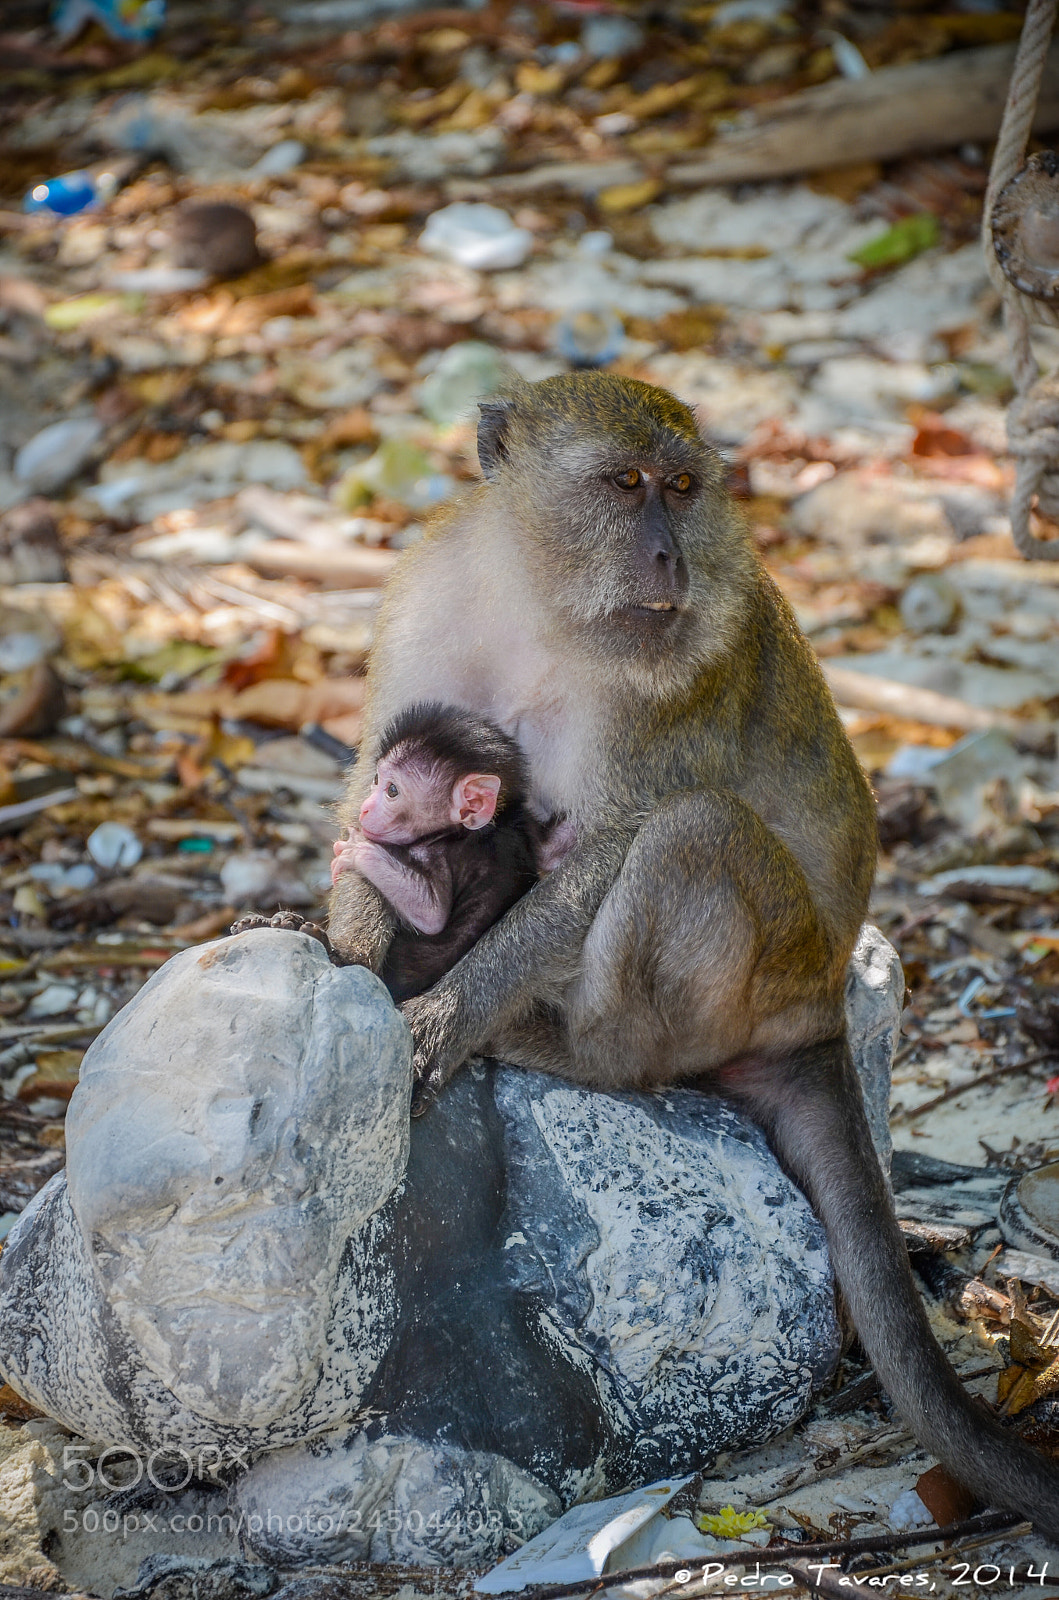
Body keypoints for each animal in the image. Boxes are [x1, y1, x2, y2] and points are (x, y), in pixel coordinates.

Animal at [331, 702, 540, 1004]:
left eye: (392, 790)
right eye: (376, 779)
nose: (366, 808)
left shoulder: (439, 856)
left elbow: (431, 914)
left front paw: (358, 849)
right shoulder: (520, 829)